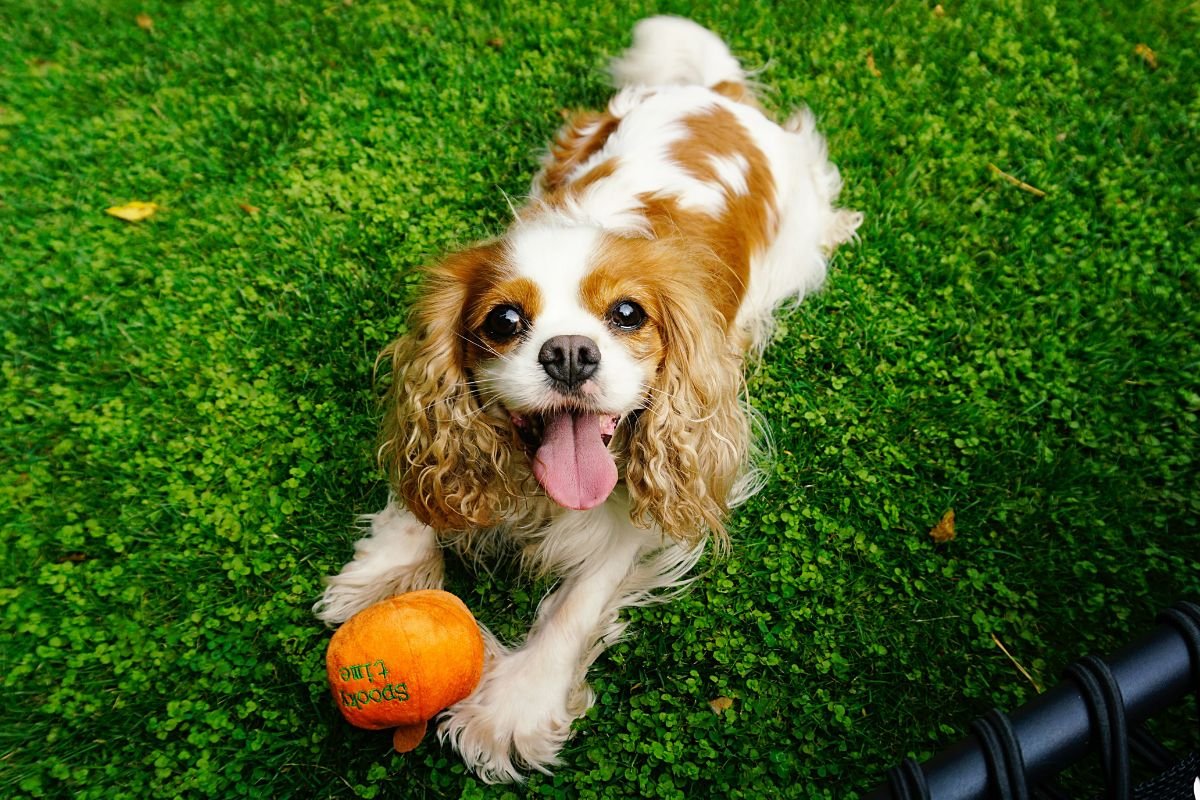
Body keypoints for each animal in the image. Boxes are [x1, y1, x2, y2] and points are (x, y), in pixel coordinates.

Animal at [316, 15, 864, 786]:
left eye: (628, 314)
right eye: (504, 321)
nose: (570, 352)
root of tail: (717, 97)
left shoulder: (648, 499)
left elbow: (581, 598)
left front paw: (513, 706)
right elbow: (419, 498)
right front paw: (388, 574)